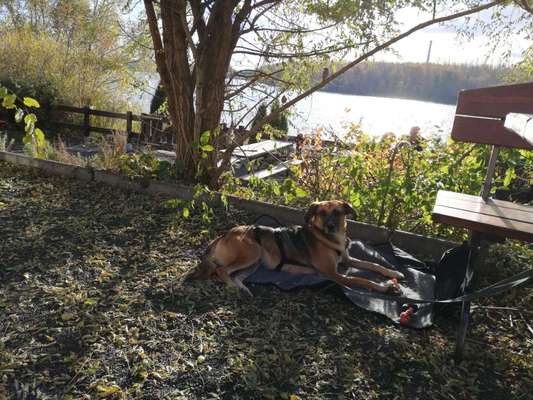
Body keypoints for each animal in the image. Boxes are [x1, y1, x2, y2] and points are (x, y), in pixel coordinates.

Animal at [187, 202, 404, 296]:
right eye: (321, 213)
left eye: (337, 212)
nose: (330, 226)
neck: (329, 238)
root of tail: (223, 235)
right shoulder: (334, 274)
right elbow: (362, 280)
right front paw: (384, 287)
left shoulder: (348, 260)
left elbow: (372, 264)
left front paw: (394, 273)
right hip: (252, 252)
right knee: (221, 270)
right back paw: (233, 287)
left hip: (255, 263)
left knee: (233, 275)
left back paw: (243, 288)